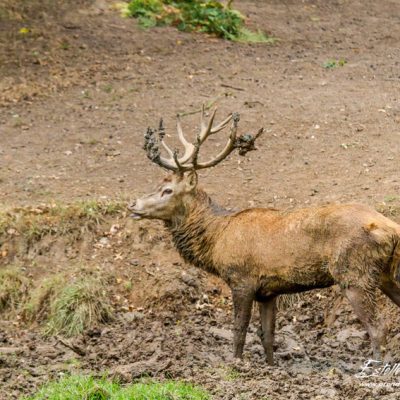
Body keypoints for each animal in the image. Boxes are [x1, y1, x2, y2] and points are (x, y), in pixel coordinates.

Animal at [128, 108, 400, 366]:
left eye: (167, 190)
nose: (133, 204)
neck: (216, 239)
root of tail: (392, 229)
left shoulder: (241, 278)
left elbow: (239, 330)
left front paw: (236, 364)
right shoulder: (268, 291)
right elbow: (267, 335)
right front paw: (270, 367)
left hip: (354, 273)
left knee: (378, 326)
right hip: (384, 273)